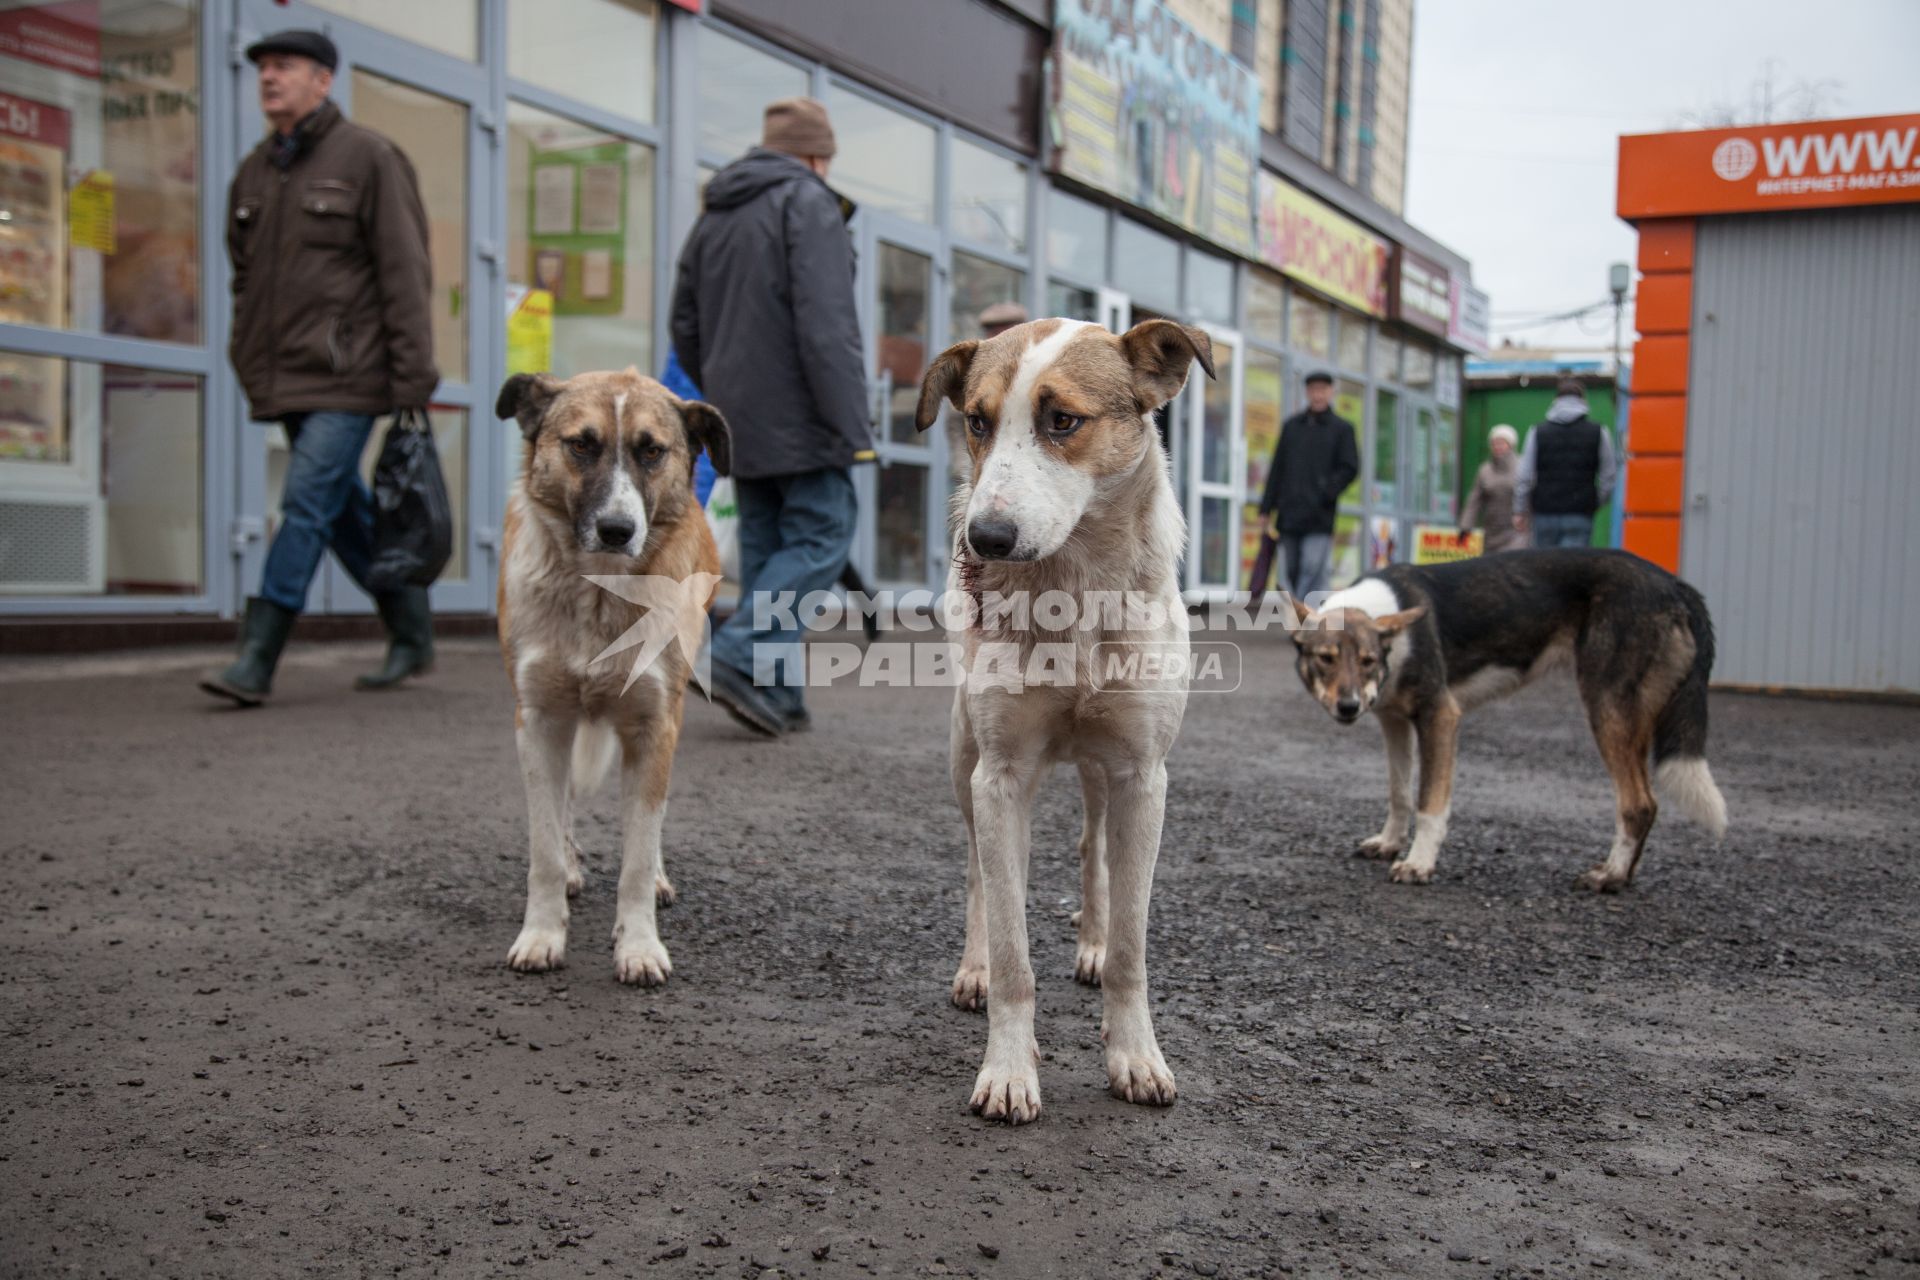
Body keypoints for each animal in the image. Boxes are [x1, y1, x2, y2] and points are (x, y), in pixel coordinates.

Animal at [491, 370, 729, 990]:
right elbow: (545, 848)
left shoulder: (654, 725)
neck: (600, 591)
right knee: (563, 807)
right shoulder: (539, 720)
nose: (618, 530)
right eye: (582, 444)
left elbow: (638, 855)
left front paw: (639, 945)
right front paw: (542, 934)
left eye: (652, 451)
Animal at [913, 318, 1213, 1120]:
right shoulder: (1001, 776)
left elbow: (1134, 944)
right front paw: (1010, 1069)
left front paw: (1135, 1055)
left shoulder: (1143, 776)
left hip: (1102, 774)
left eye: (1063, 422)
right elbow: (1013, 944)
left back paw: (1093, 945)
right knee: (980, 873)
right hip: (961, 758)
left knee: (1092, 851)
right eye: (977, 421)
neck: (1073, 588)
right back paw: (976, 967)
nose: (983, 539)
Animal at [1290, 552, 1728, 890]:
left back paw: (1610, 877)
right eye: (1325, 659)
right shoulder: (1394, 721)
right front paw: (1389, 842)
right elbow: (1399, 793)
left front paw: (1419, 862)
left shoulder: (1440, 717)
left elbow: (1430, 802)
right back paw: (1623, 874)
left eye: (1366, 661)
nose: (1348, 706)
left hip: (1609, 711)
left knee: (1638, 804)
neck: (1396, 640)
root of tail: (1676, 585)